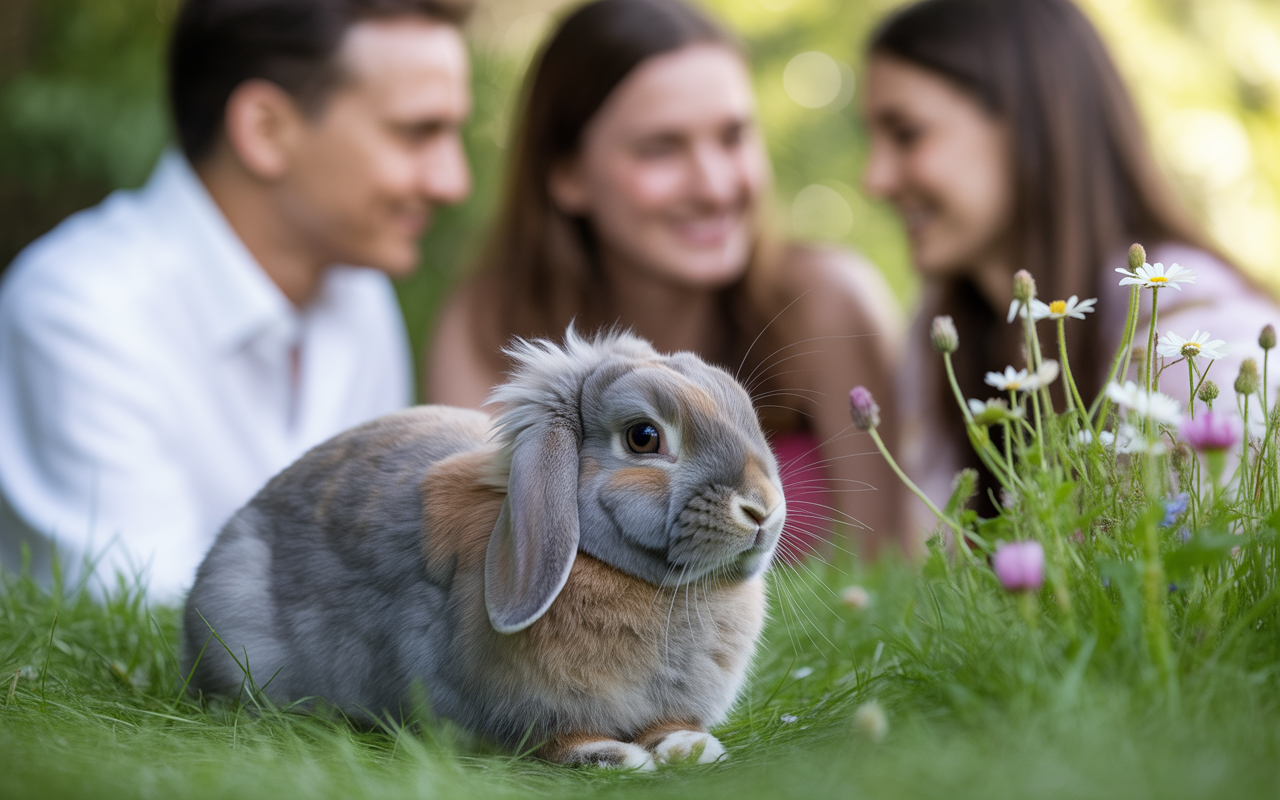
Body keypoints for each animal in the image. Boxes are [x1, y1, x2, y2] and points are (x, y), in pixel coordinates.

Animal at [183, 328, 786, 769]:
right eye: (643, 437)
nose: (763, 509)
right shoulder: (525, 710)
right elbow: (560, 738)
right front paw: (617, 756)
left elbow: (671, 725)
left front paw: (692, 748)